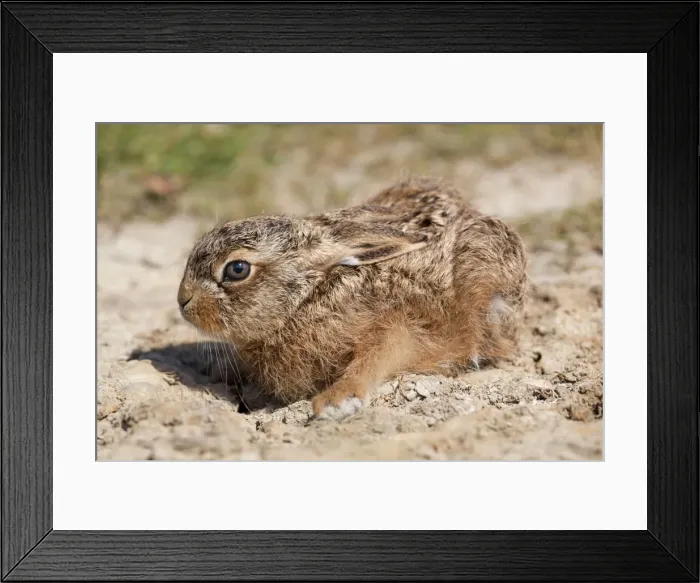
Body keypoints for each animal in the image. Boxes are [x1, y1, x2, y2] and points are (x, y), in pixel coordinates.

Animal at [177, 177, 528, 420]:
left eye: (237, 269)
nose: (183, 301)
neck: (308, 297)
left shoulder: (400, 325)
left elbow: (377, 356)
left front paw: (336, 401)